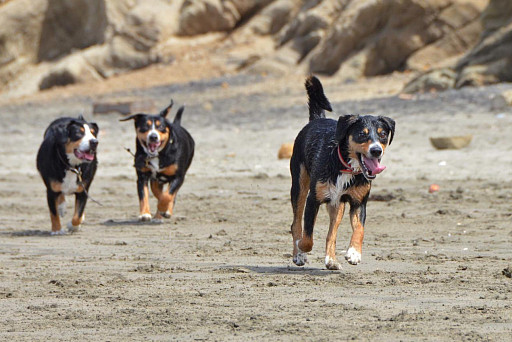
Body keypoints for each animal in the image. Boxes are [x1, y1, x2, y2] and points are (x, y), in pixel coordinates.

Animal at [288, 77, 396, 270]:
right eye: (362, 134)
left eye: (383, 135)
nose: (376, 150)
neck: (346, 167)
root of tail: (317, 119)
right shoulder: (313, 200)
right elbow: (307, 237)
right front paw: (301, 249)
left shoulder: (358, 202)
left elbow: (359, 229)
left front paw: (354, 253)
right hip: (299, 187)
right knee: (296, 224)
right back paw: (298, 254)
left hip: (337, 205)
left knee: (331, 233)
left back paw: (331, 260)